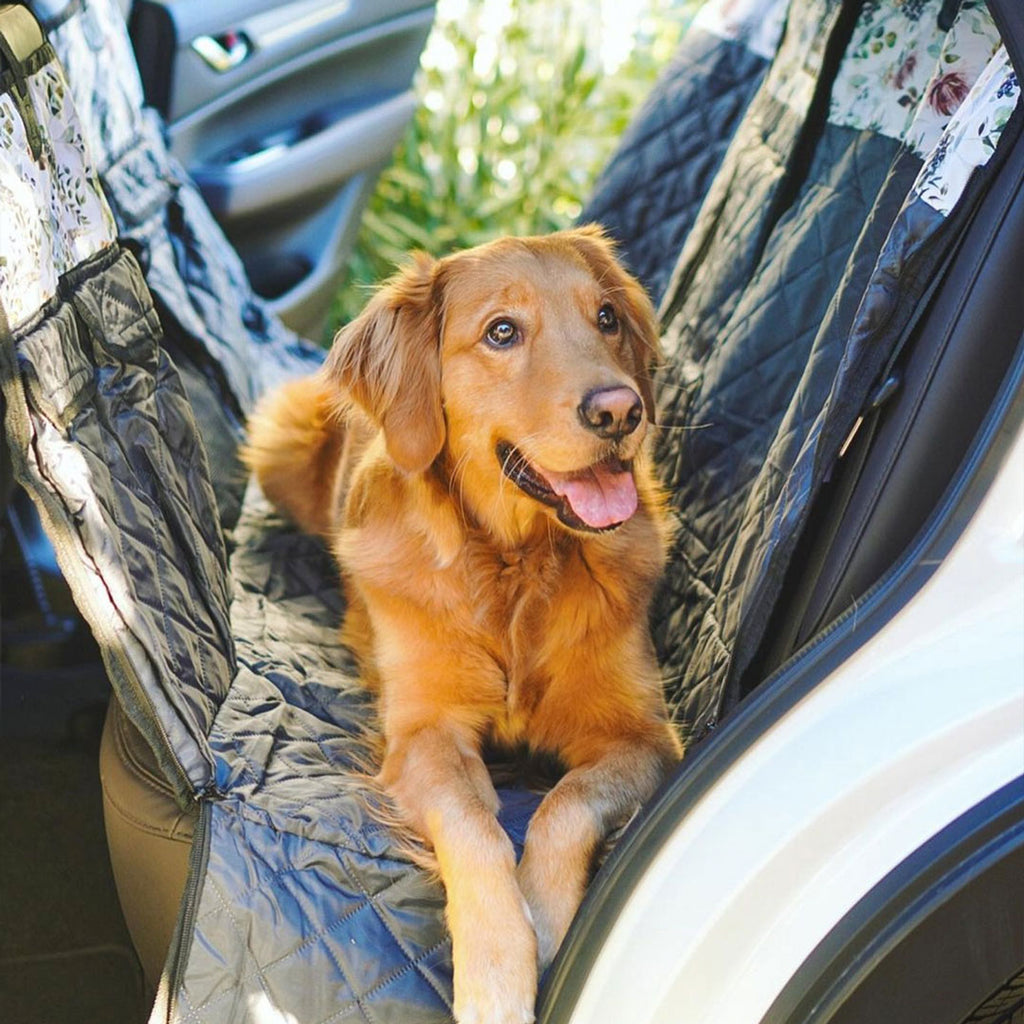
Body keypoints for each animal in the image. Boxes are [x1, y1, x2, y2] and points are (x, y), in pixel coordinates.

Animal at [243, 228, 684, 1024]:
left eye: (606, 318)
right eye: (501, 333)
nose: (620, 411)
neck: (515, 566)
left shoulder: (645, 739)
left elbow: (565, 805)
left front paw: (543, 922)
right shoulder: (425, 734)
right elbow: (475, 830)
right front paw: (499, 976)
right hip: (279, 434)